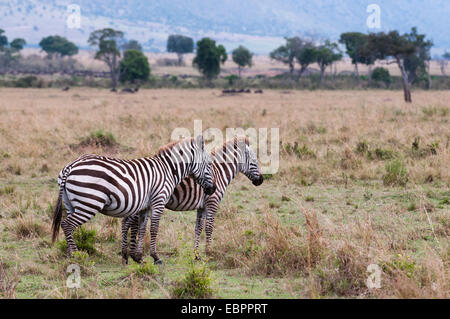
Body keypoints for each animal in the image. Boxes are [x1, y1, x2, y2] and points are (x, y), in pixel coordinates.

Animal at [51, 136, 216, 264]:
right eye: (209, 164)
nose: (213, 189)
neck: (168, 169)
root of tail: (70, 166)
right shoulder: (159, 201)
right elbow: (154, 228)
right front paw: (155, 257)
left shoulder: (145, 206)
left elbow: (142, 229)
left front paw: (138, 257)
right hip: (89, 203)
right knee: (67, 225)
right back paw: (76, 256)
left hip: (71, 204)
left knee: (69, 226)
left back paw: (69, 256)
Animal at [122, 136, 264, 262]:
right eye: (254, 161)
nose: (261, 181)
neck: (219, 172)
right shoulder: (212, 203)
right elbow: (209, 227)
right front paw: (209, 252)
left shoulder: (202, 207)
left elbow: (198, 228)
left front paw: (197, 255)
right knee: (130, 223)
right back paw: (132, 255)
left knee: (127, 222)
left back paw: (128, 255)